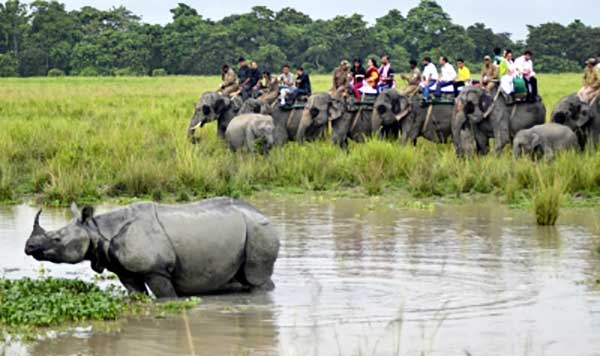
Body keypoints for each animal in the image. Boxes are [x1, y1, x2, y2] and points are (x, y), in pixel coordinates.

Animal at [24, 199, 282, 298]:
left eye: (57, 239)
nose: (29, 246)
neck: (96, 229)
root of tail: (262, 214)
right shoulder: (125, 271)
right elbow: (136, 293)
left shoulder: (156, 269)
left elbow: (166, 297)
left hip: (258, 230)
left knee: (256, 277)